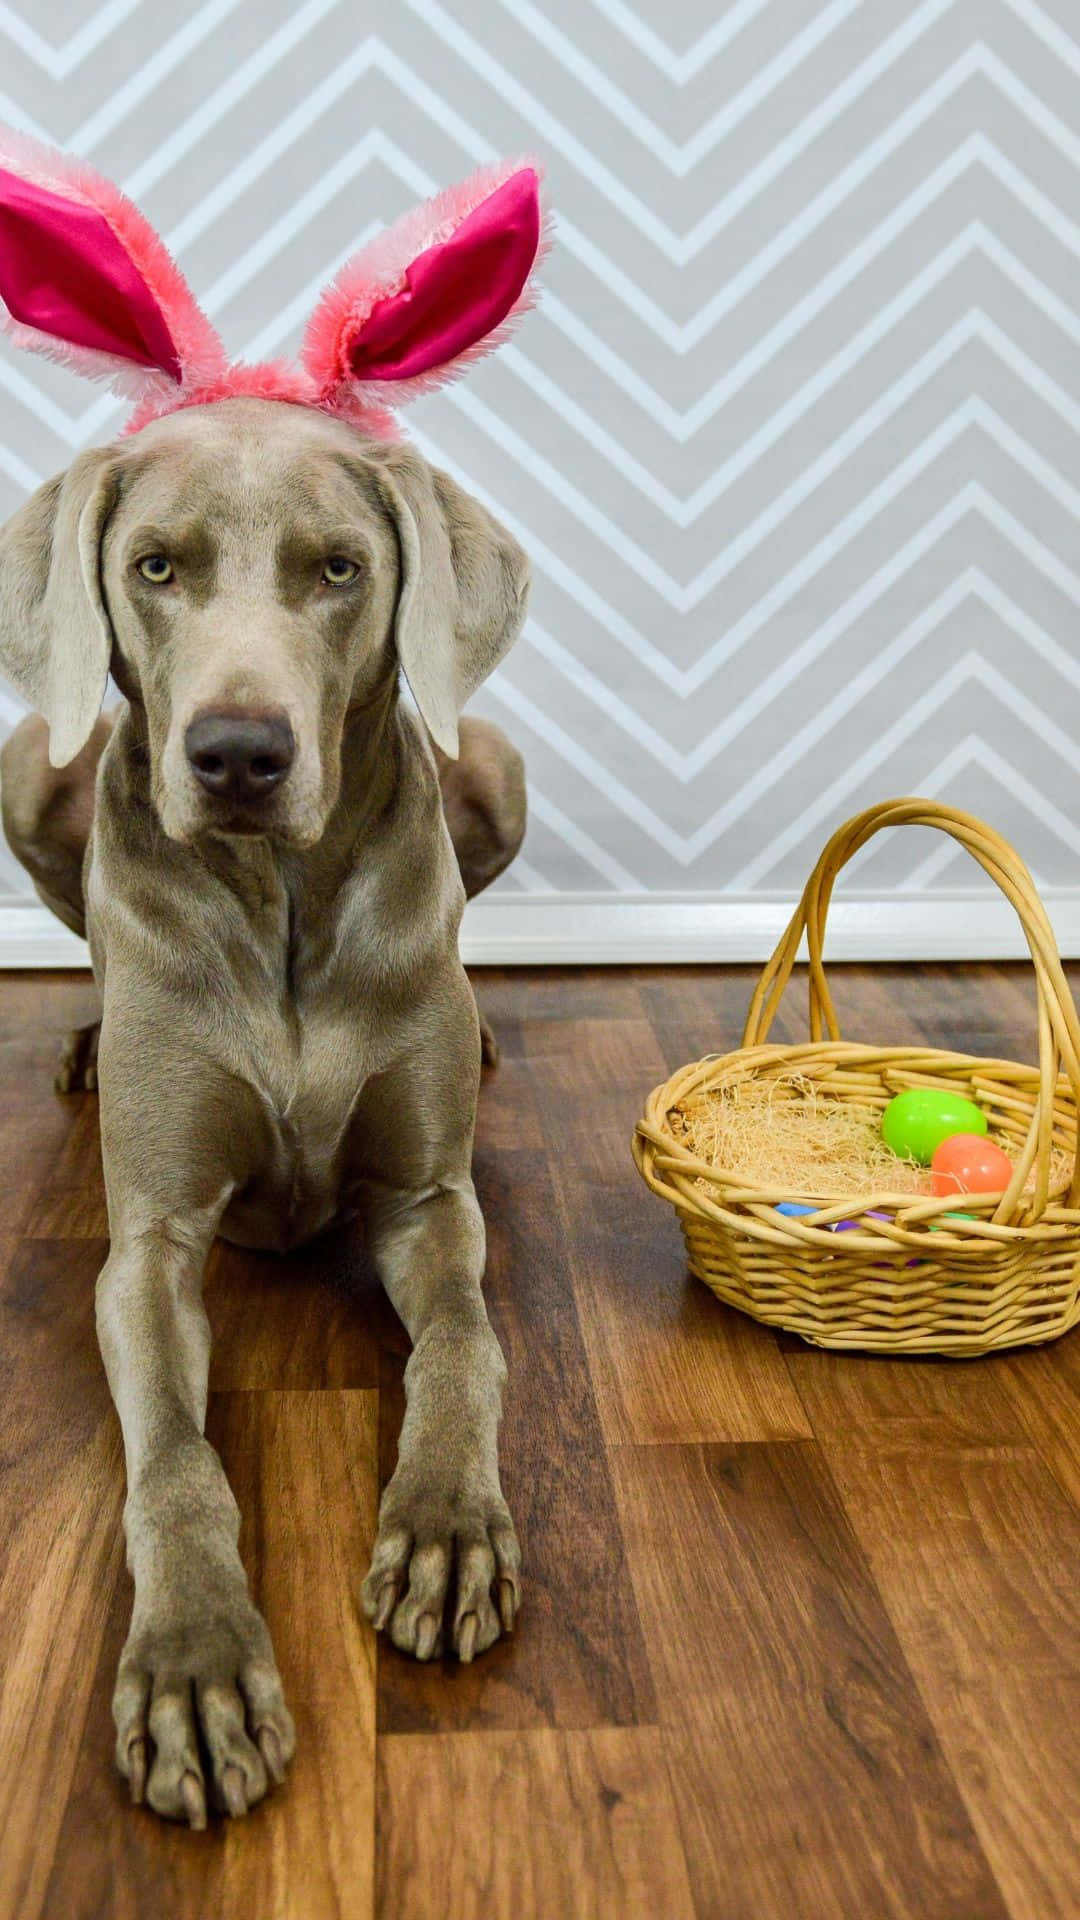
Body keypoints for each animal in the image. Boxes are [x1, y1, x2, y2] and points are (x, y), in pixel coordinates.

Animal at [0, 127, 541, 1820]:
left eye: (339, 569)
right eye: (158, 567)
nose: (237, 755)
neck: (283, 903)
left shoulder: (429, 1203)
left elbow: (470, 1345)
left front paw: (445, 1530)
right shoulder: (150, 1250)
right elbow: (174, 1459)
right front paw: (191, 1669)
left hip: (493, 764)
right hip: (26, 767)